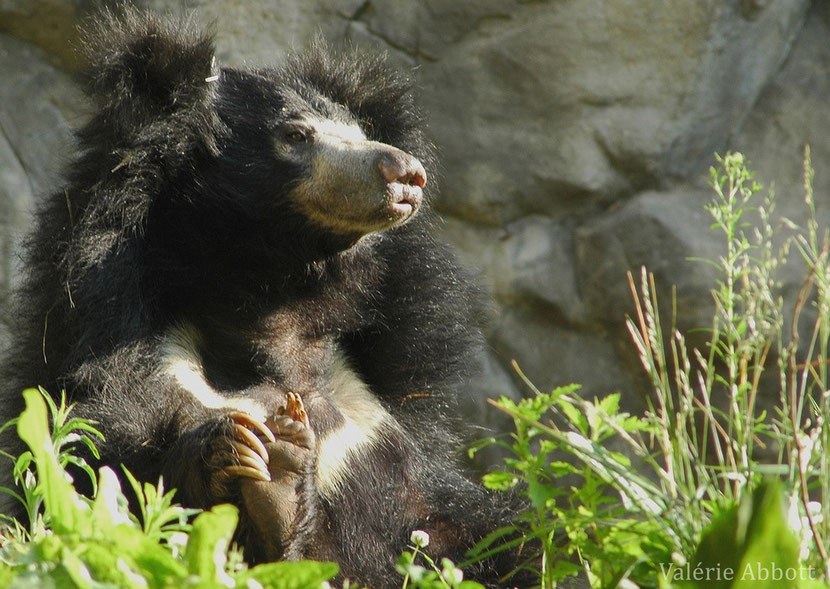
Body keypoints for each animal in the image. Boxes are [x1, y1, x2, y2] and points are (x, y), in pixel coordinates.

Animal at [0, 8, 528, 588]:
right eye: (295, 134)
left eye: (361, 133)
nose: (406, 173)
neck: (275, 310)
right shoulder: (114, 335)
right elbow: (97, 470)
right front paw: (250, 458)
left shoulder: (377, 429)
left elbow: (470, 535)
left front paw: (281, 466)